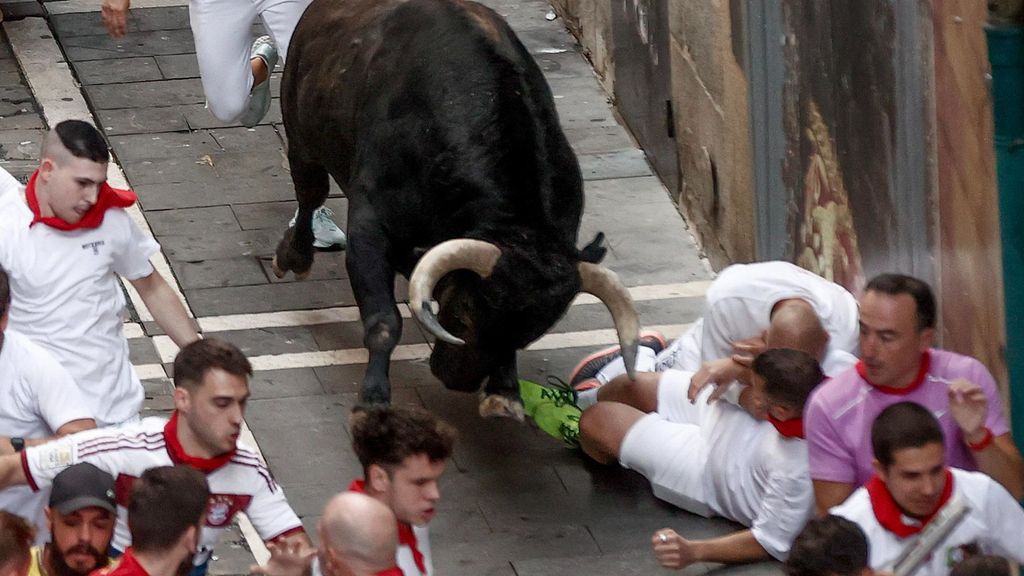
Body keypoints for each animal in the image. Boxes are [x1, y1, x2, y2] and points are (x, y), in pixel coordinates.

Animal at [272, 0, 638, 416]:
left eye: (534, 330)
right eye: (466, 309)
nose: (458, 380)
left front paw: (504, 393)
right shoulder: (370, 229)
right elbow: (384, 321)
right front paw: (374, 398)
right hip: (301, 138)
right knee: (310, 196)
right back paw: (294, 256)